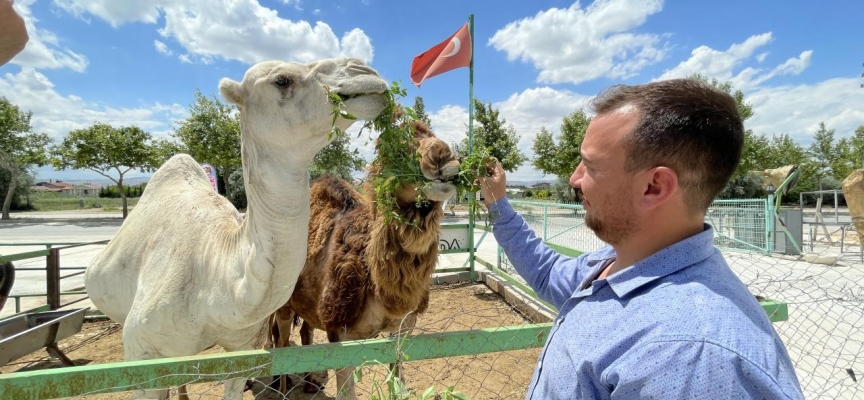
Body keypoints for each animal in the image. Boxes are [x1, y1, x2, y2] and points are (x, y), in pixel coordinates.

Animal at [270, 119, 462, 400]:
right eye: (397, 151)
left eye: (434, 135)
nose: (443, 157)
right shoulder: (339, 333)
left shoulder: (402, 329)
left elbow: (398, 382)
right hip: (283, 304)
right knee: (281, 342)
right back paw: (280, 387)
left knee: (306, 332)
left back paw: (310, 383)